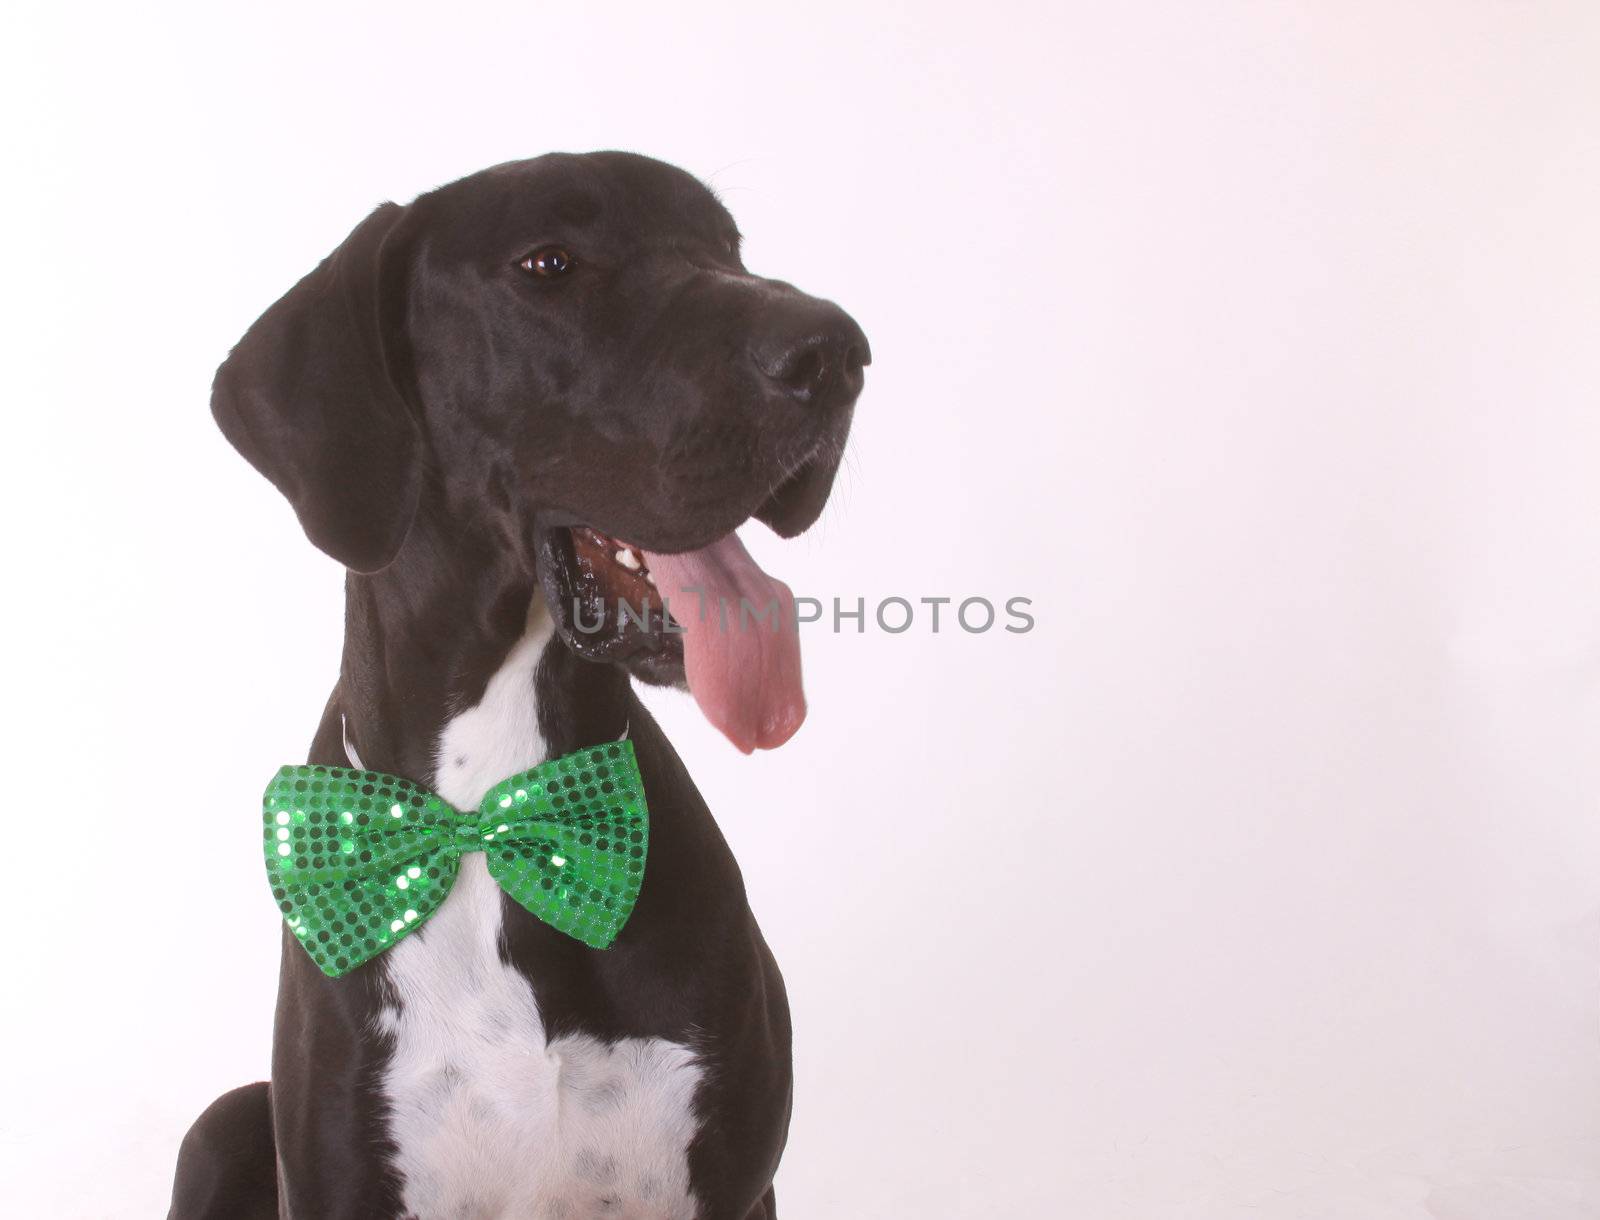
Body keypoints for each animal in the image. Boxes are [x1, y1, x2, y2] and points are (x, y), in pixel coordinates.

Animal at [168, 152, 870, 1216]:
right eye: (549, 263)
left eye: (727, 247)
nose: (837, 353)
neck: (489, 807)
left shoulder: (739, 1187)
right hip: (216, 1124)